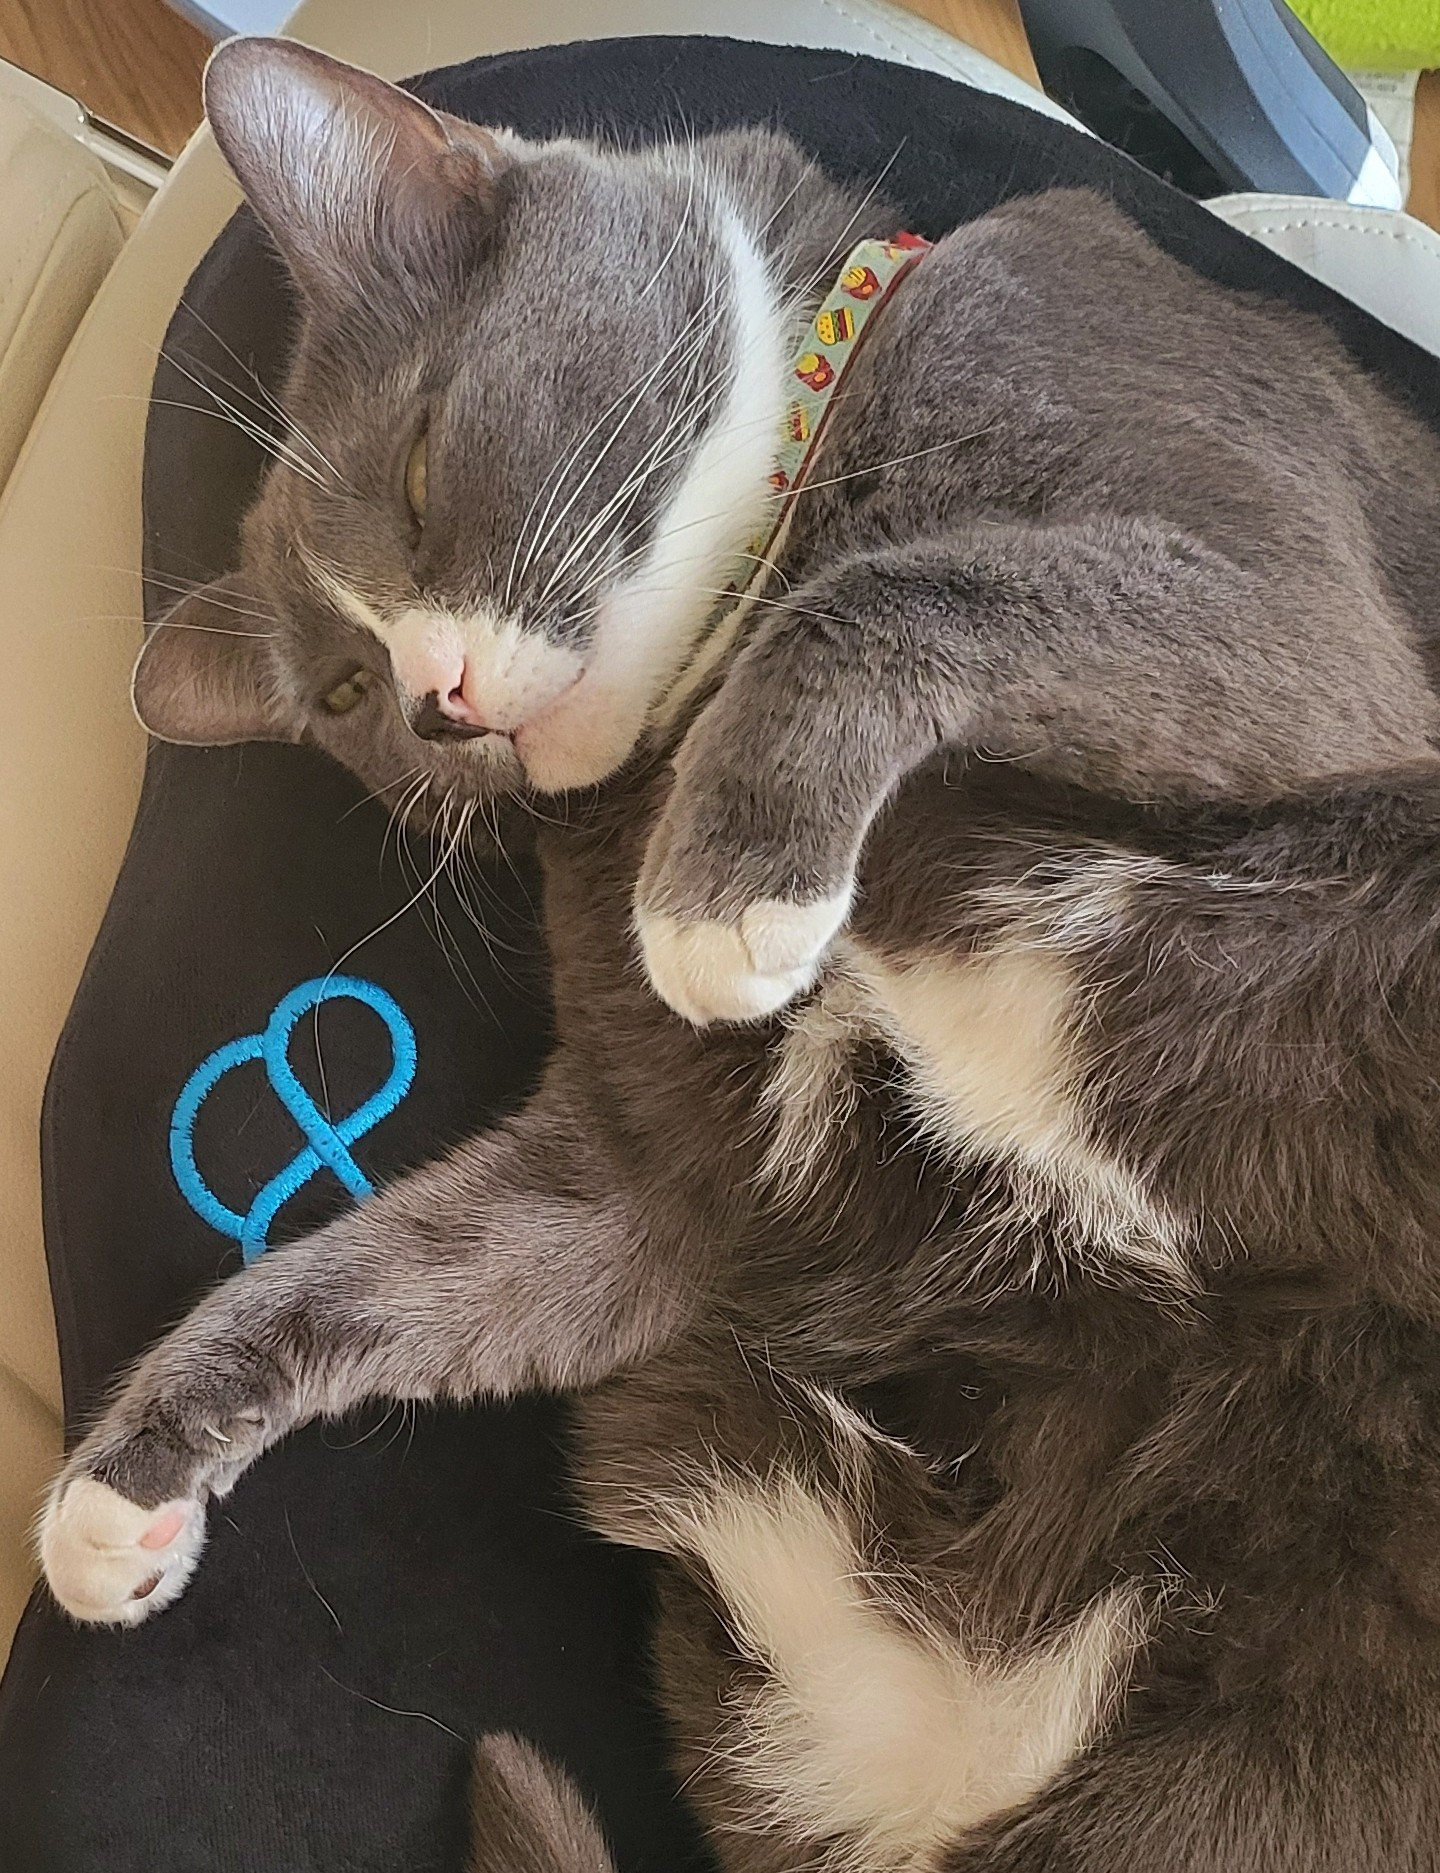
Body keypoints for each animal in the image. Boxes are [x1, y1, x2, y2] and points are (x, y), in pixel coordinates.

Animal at [36, 40, 1440, 1873]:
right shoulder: (657, 1177)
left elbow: (908, 585)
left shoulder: (1307, 638)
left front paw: (727, 891)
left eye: (417, 472)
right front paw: (124, 1482)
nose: (433, 695)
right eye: (342, 692)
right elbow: (378, 1275)